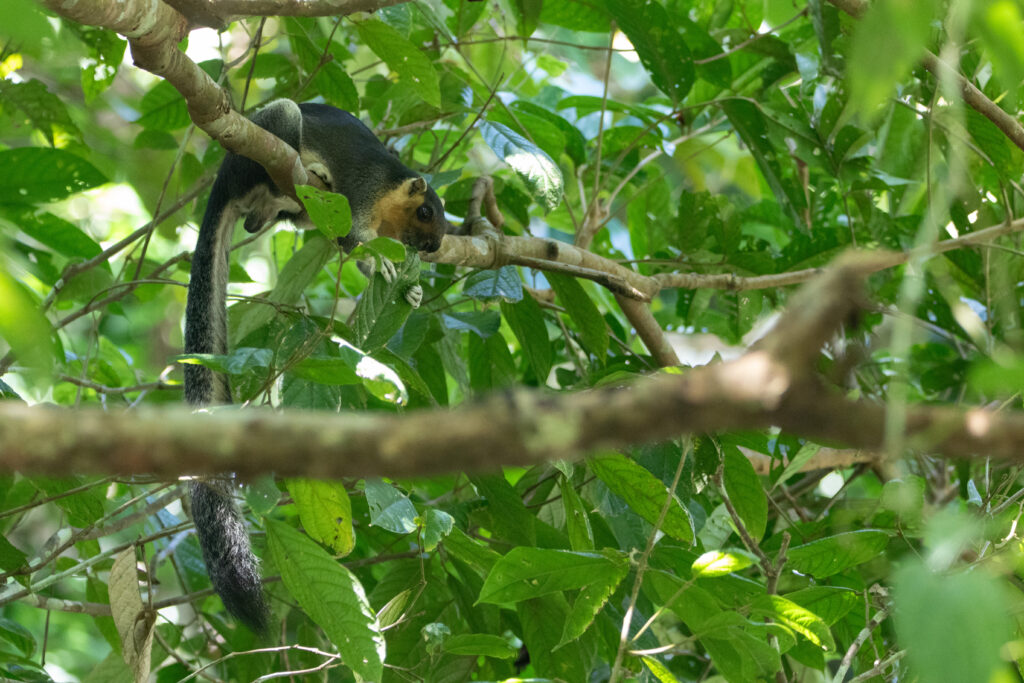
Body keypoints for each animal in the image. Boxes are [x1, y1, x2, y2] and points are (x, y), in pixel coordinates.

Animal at [183, 99, 449, 633]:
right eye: (427, 212)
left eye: (445, 225)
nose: (432, 249)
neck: (391, 193)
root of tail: (223, 181)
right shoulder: (361, 194)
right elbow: (351, 239)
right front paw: (383, 264)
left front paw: (406, 286)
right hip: (263, 145)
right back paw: (305, 174)